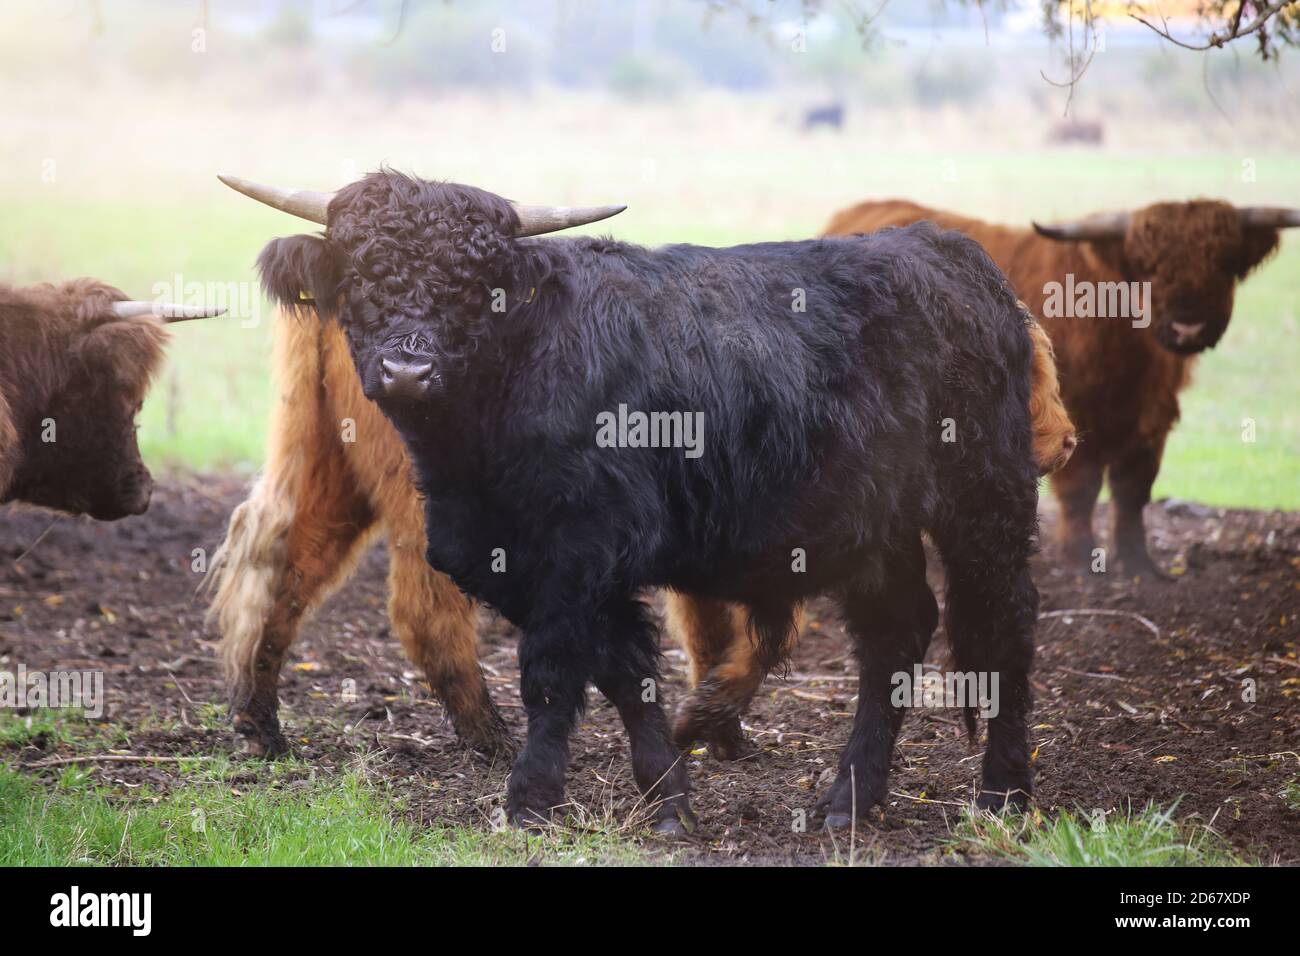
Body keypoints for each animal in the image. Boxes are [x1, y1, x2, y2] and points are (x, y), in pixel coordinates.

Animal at [221, 170, 1044, 831]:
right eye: (360, 272)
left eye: (475, 285)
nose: (406, 370)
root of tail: (946, 251)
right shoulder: (547, 562)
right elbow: (623, 672)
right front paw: (668, 799)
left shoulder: (581, 548)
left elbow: (554, 674)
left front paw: (530, 800)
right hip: (877, 525)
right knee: (894, 637)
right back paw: (847, 800)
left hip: (985, 501)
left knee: (1000, 626)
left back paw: (1003, 795)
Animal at [820, 199, 1298, 577]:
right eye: (1148, 268)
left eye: (1225, 263)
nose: (1188, 326)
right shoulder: (1072, 417)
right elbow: (1081, 489)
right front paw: (1083, 562)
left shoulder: (1151, 422)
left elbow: (1133, 491)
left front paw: (1140, 566)